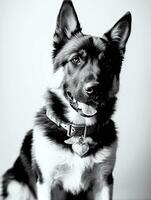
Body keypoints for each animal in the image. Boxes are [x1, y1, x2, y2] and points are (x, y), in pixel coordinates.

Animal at [0, 0, 132, 200]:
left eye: (107, 63)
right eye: (76, 59)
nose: (95, 90)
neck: (80, 130)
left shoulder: (104, 182)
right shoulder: (46, 184)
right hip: (17, 186)